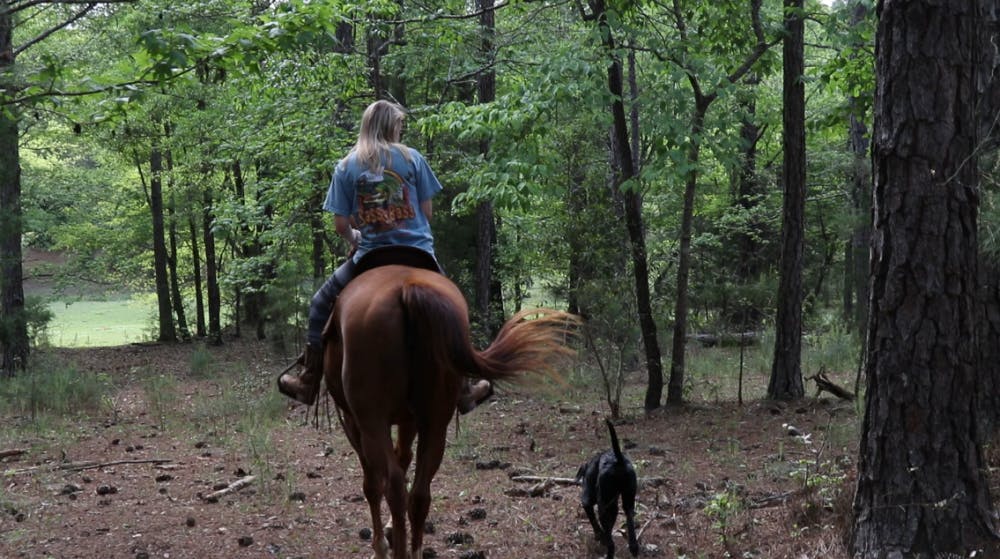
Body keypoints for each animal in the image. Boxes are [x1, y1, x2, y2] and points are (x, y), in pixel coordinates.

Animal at [320, 249, 578, 559]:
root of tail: (408, 289)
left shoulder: (353, 419)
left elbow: (372, 483)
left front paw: (381, 545)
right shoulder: (410, 419)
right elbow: (403, 458)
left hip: (374, 421)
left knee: (393, 486)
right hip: (435, 420)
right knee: (419, 494)